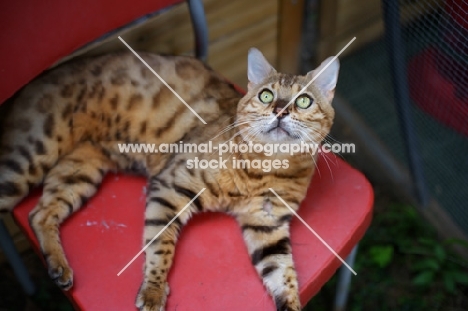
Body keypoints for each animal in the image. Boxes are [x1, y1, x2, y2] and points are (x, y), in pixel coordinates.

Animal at [0, 47, 338, 310]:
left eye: (304, 101)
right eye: (266, 95)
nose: (280, 110)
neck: (266, 167)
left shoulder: (267, 224)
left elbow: (283, 273)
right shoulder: (171, 186)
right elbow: (160, 245)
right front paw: (153, 291)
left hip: (80, 170)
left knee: (39, 212)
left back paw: (58, 265)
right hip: (30, 156)